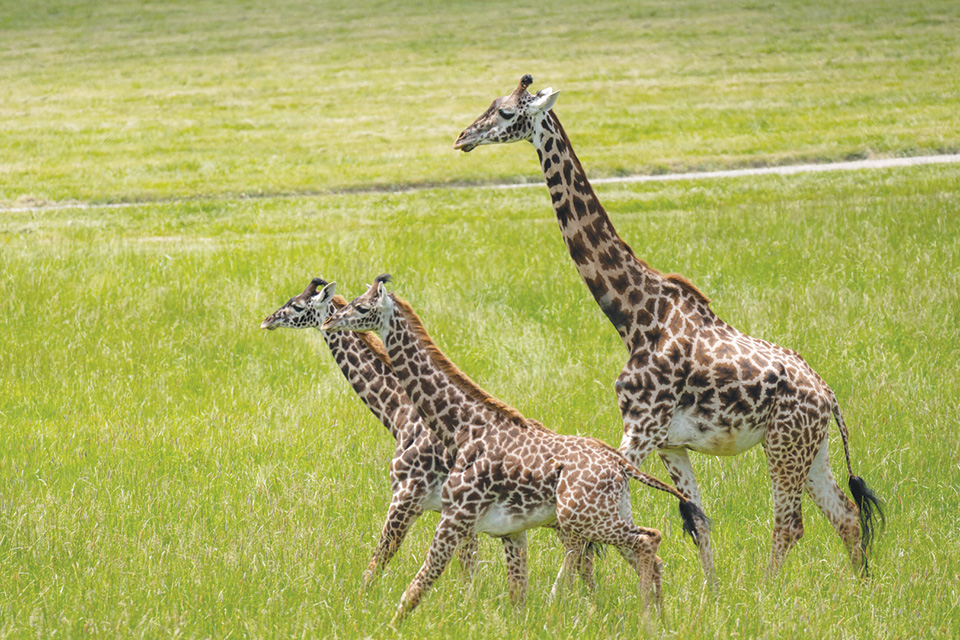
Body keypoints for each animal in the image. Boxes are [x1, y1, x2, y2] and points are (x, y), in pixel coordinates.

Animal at [260, 277, 479, 587]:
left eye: (298, 306)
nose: (267, 321)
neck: (400, 414)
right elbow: (468, 572)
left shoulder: (408, 496)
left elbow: (375, 564)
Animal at [322, 274, 709, 624]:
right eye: (351, 301)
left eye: (362, 306)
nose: (330, 319)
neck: (462, 428)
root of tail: (622, 466)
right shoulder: (510, 530)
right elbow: (516, 597)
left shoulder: (450, 514)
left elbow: (414, 585)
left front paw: (382, 623)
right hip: (602, 515)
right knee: (643, 554)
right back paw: (657, 619)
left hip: (583, 519)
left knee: (647, 541)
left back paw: (645, 620)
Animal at [454, 75, 884, 582]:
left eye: (505, 112)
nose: (463, 137)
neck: (635, 316)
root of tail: (829, 397)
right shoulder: (670, 443)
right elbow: (698, 519)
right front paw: (711, 594)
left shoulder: (640, 427)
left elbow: (582, 525)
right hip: (812, 447)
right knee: (845, 514)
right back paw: (862, 587)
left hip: (784, 443)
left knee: (790, 523)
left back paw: (768, 591)